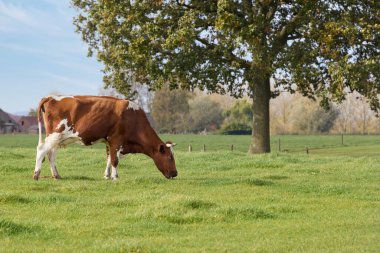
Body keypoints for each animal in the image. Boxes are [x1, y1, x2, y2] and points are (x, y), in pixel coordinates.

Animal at [33, 94, 178, 180]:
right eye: (170, 157)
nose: (175, 173)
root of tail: (51, 96)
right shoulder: (116, 139)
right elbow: (114, 160)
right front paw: (115, 177)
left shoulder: (109, 141)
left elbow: (109, 158)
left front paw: (107, 175)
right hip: (55, 134)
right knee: (42, 150)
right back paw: (36, 174)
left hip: (57, 139)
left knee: (51, 154)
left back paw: (57, 175)